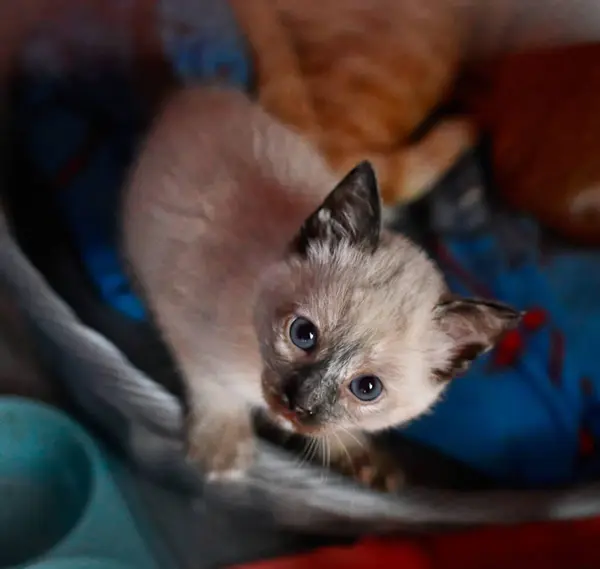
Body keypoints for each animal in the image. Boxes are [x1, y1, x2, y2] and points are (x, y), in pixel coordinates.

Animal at [120, 87, 516, 488]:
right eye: (303, 334)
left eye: (367, 389)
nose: (300, 403)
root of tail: (199, 90)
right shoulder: (184, 321)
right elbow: (213, 387)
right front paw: (224, 450)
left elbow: (336, 432)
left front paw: (364, 461)